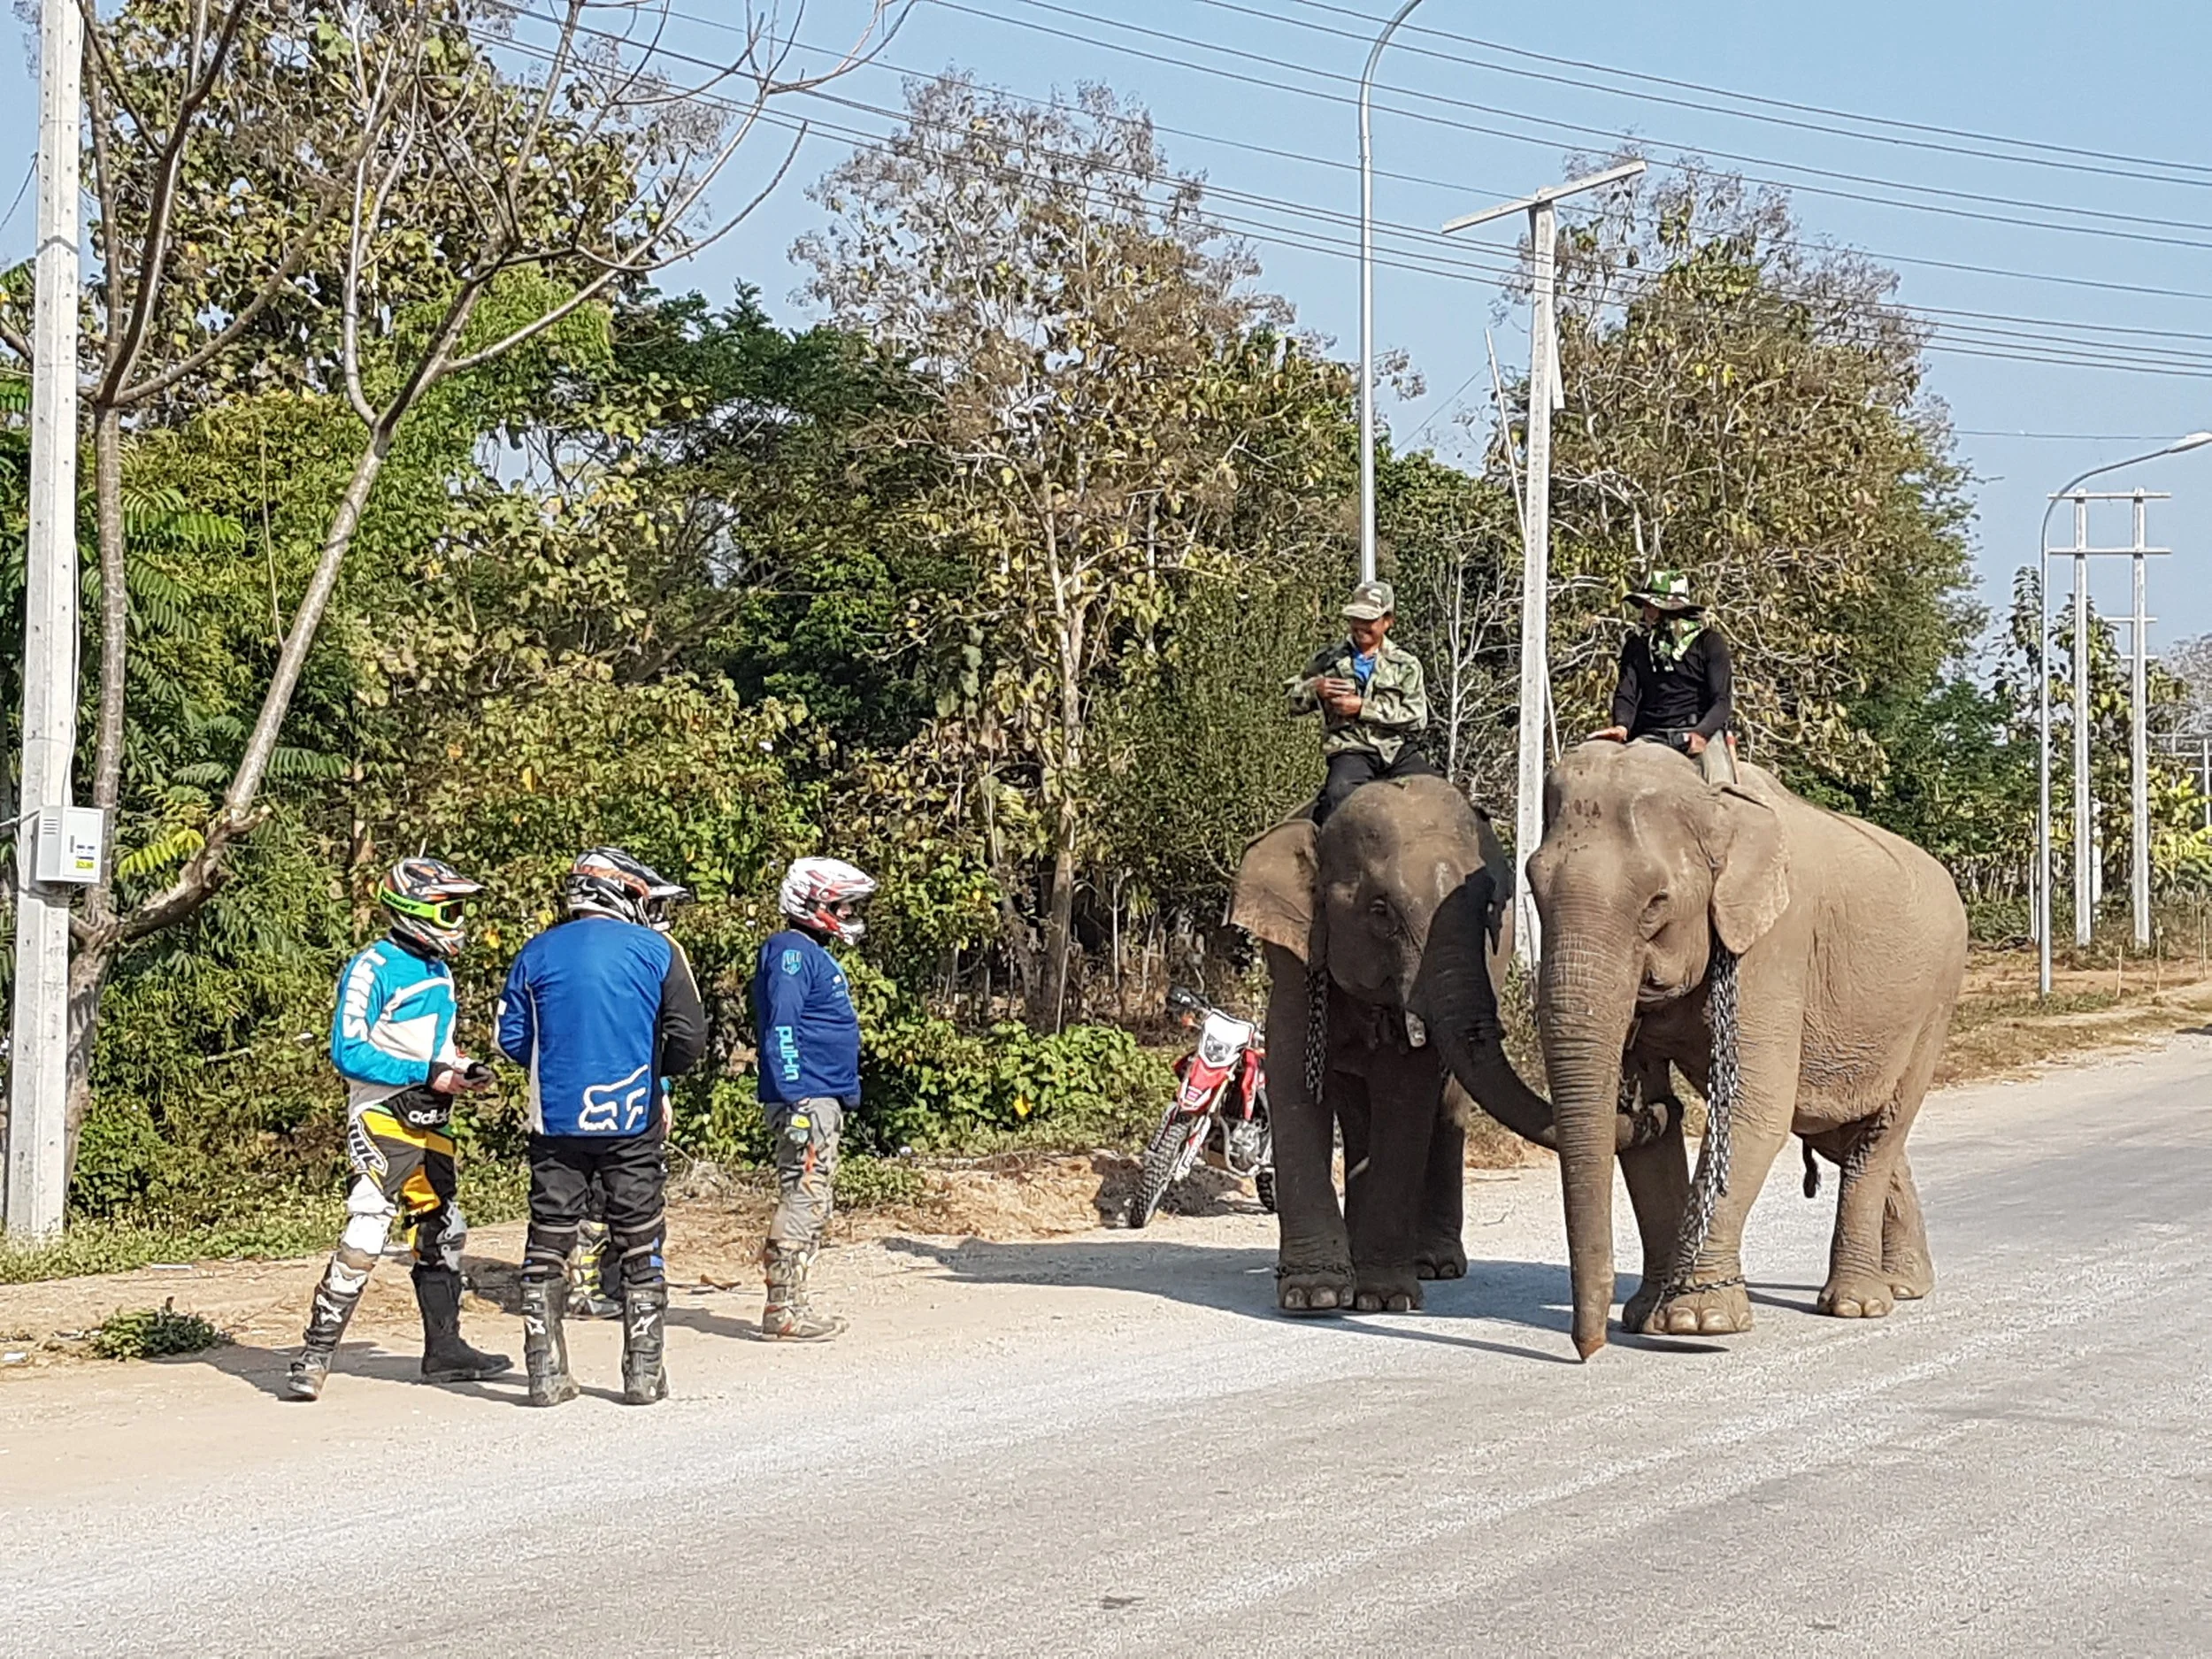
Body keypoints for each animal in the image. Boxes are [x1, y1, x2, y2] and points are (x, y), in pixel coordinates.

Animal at [1229, 772, 1669, 1315]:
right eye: (1380, 911)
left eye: (1488, 910)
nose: (1646, 1108)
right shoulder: (1294, 959)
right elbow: (1294, 1078)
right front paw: (1318, 1295)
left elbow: (1405, 1095)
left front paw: (1385, 1299)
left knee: (1447, 1104)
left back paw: (1434, 1267)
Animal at [1526, 740, 1968, 1359]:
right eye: (1533, 889)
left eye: (1656, 902)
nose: (1589, 1350)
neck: (1717, 802)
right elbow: (1652, 1134)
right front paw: (1646, 1315)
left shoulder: (1775, 943)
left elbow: (1754, 1107)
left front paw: (1697, 1322)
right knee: (1840, 1129)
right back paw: (1905, 1284)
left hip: (1934, 1002)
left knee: (1882, 1128)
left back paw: (1859, 1304)